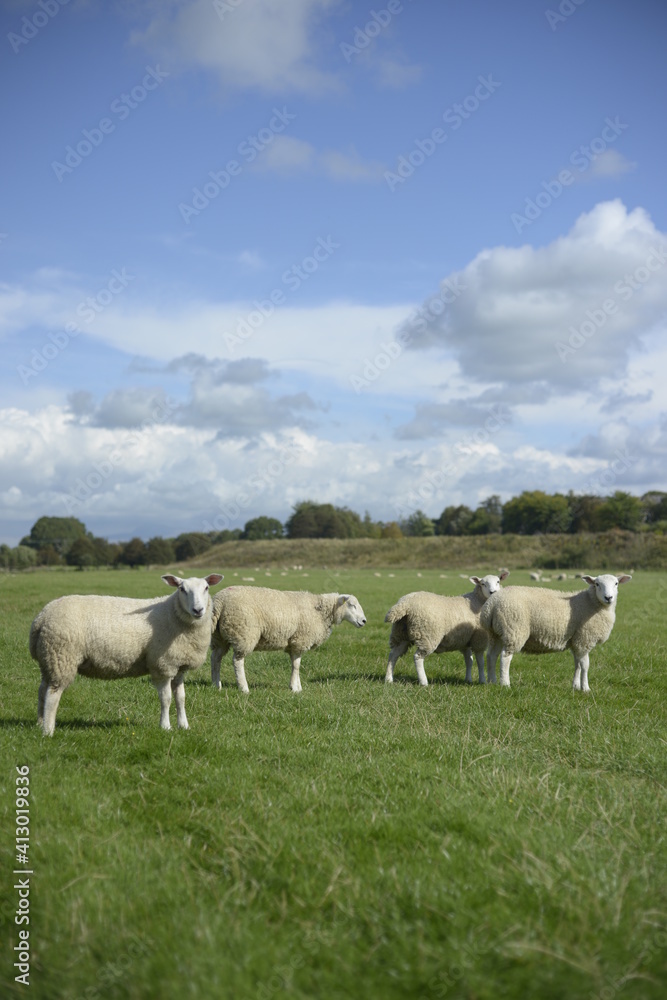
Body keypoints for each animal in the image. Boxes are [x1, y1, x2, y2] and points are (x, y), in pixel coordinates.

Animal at [30, 574, 223, 735]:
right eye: (182, 589)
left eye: (206, 588)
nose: (198, 610)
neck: (173, 614)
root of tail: (41, 618)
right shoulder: (162, 665)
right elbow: (166, 698)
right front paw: (165, 726)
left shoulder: (179, 666)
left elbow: (181, 698)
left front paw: (184, 725)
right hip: (61, 657)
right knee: (52, 695)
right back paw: (48, 730)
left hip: (48, 659)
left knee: (42, 691)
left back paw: (40, 722)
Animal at [210, 587, 366, 692]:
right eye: (352, 605)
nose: (364, 621)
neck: (321, 611)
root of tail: (219, 601)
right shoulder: (300, 640)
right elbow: (296, 665)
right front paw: (295, 688)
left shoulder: (293, 643)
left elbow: (295, 664)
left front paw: (298, 686)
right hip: (243, 633)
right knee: (237, 661)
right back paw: (244, 688)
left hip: (220, 637)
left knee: (216, 658)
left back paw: (216, 685)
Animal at [480, 574, 632, 691]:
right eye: (597, 584)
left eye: (616, 583)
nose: (608, 597)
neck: (591, 602)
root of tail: (491, 605)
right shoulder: (584, 639)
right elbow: (585, 665)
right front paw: (586, 688)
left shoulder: (575, 641)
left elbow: (577, 664)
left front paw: (576, 686)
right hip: (513, 630)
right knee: (505, 657)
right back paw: (505, 684)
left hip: (496, 633)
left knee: (491, 655)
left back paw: (492, 681)